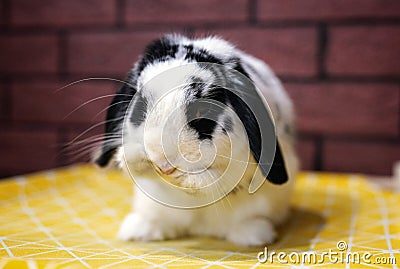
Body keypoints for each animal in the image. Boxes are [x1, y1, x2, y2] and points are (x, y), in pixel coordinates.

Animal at [95, 33, 298, 245]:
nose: (163, 165)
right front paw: (135, 158)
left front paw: (186, 178)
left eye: (203, 111)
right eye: (141, 107)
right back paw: (140, 229)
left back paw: (253, 234)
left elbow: (210, 180)